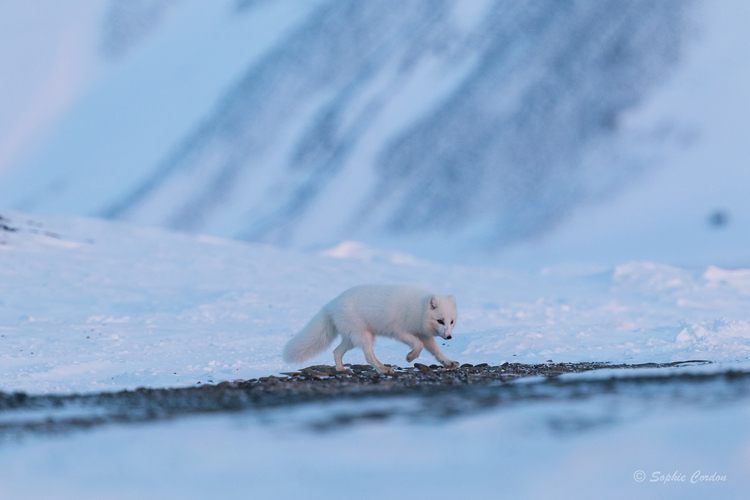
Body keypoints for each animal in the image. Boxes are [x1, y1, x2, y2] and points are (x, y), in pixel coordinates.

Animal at [282, 286, 458, 376]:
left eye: (451, 321)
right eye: (440, 320)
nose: (449, 337)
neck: (419, 309)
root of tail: (329, 305)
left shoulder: (424, 334)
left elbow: (436, 351)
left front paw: (448, 362)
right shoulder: (399, 331)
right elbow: (418, 345)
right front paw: (410, 357)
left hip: (351, 339)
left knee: (336, 351)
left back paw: (341, 369)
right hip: (364, 336)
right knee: (368, 356)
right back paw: (383, 368)